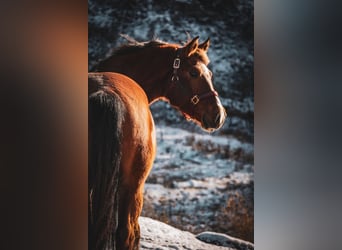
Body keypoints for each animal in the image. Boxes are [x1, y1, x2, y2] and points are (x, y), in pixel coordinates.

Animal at [89, 36, 226, 249]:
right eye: (194, 73)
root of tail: (106, 92)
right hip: (134, 188)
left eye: (210, 73)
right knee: (128, 233)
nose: (218, 115)